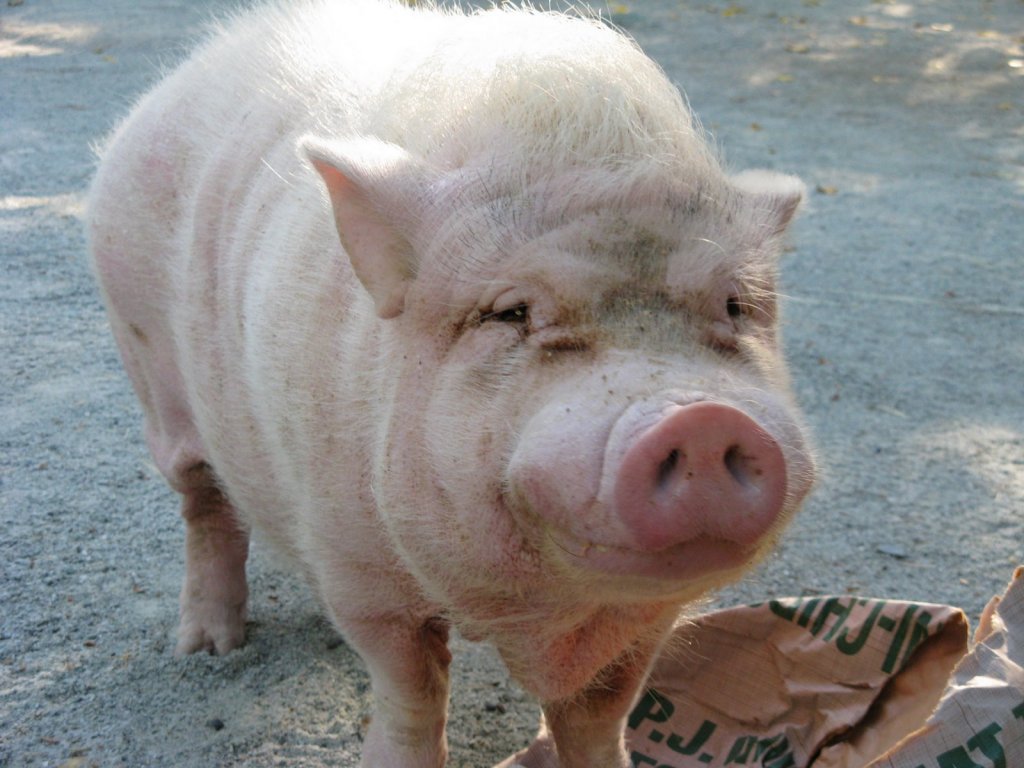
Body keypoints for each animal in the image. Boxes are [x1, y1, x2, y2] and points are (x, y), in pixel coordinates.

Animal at [87, 1, 815, 766]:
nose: (700, 417)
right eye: (512, 312)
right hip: (147, 366)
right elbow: (410, 686)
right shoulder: (360, 567)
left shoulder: (643, 621)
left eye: (734, 307)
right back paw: (209, 651)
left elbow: (598, 713)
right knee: (204, 503)